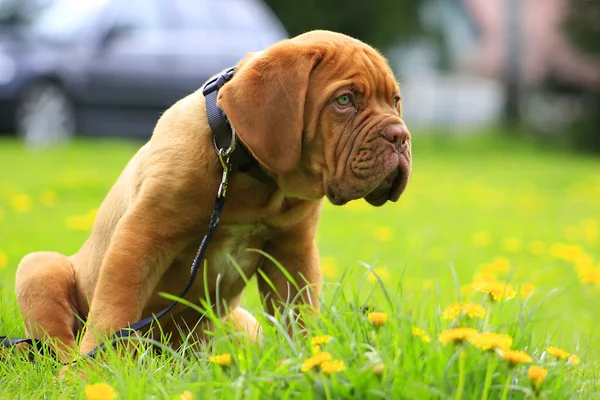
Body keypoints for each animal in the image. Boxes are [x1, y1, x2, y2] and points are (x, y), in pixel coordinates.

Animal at [14, 30, 412, 362]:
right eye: (344, 100)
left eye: (395, 101)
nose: (400, 137)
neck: (249, 173)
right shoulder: (140, 236)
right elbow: (115, 311)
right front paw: (95, 372)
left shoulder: (292, 252)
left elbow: (299, 314)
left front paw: (310, 360)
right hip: (37, 268)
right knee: (57, 343)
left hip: (241, 324)